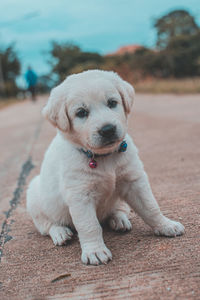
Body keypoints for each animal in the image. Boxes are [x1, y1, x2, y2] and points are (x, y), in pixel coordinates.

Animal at [26, 70, 184, 264]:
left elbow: (150, 207)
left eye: (112, 103)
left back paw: (119, 219)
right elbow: (89, 225)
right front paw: (95, 251)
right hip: (34, 197)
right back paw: (60, 233)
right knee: (47, 225)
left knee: (117, 210)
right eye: (81, 112)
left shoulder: (134, 180)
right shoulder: (80, 195)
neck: (104, 157)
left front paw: (166, 225)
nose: (108, 129)